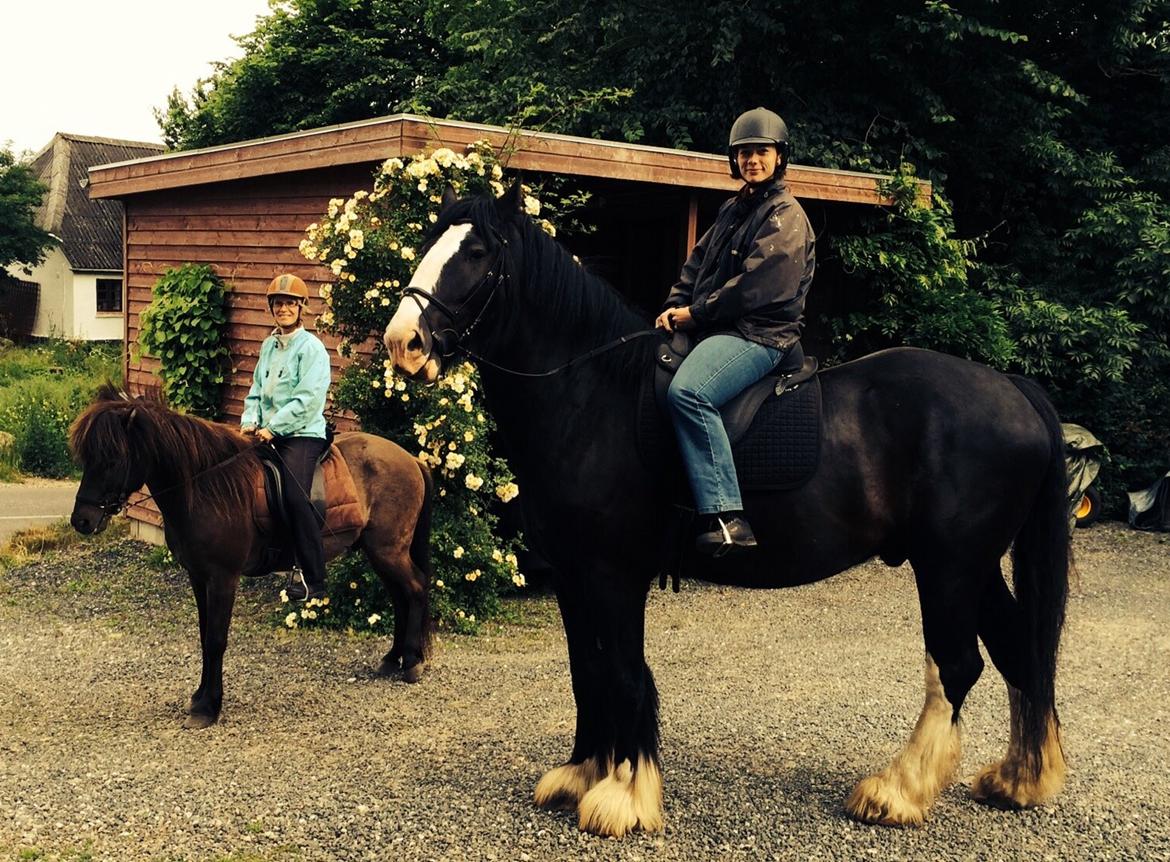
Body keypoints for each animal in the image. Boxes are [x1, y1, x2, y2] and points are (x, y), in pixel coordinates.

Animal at [68, 383, 435, 725]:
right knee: (400, 597)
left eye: (112, 459)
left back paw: (411, 664)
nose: (82, 520)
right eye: (87, 458)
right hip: (379, 552)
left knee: (415, 589)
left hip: (388, 550)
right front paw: (200, 697)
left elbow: (216, 639)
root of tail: (412, 459)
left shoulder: (223, 578)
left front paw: (209, 707)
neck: (204, 487)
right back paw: (392, 660)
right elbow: (204, 635)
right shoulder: (198, 576)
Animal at [383, 184, 1071, 837]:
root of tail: (1013, 389)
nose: (403, 344)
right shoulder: (575, 578)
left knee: (955, 666)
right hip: (973, 567)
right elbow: (587, 671)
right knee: (1018, 653)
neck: (594, 394)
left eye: (476, 252)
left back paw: (897, 792)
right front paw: (582, 775)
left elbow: (625, 674)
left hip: (949, 566)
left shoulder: (614, 575)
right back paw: (1019, 779)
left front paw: (624, 798)